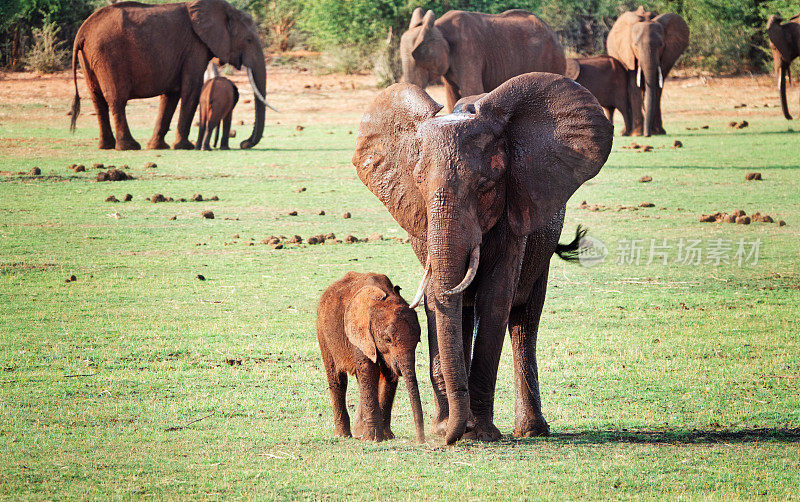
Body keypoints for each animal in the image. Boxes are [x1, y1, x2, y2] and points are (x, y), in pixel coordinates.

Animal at [67, 0, 278, 150]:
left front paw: (158, 147)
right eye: (249, 40)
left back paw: (106, 147)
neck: (223, 9)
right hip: (107, 56)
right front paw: (185, 147)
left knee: (98, 100)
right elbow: (191, 89)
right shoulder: (195, 47)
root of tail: (82, 32)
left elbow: (171, 96)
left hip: (91, 57)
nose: (244, 143)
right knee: (116, 99)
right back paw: (129, 147)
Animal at [316, 272, 424, 442]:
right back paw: (342, 435)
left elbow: (388, 376)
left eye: (418, 341)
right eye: (388, 340)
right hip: (323, 332)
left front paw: (386, 437)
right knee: (338, 380)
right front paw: (372, 439)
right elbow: (368, 372)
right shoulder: (359, 333)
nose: (422, 441)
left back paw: (359, 432)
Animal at [352, 73, 612, 444]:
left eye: (486, 185)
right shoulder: (420, 222)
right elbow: (440, 301)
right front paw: (447, 429)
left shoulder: (515, 213)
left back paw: (530, 430)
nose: (444, 437)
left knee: (524, 322)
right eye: (418, 182)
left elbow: (495, 298)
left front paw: (480, 434)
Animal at [398, 7, 564, 112]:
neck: (439, 26)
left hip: (553, 59)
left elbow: (472, 91)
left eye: (418, 59)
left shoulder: (468, 51)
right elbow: (452, 98)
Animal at [608, 4, 688, 137]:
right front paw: (637, 134)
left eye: (661, 45)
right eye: (635, 45)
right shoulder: (628, 53)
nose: (647, 135)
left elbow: (657, 87)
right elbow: (634, 85)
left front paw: (658, 132)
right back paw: (625, 132)